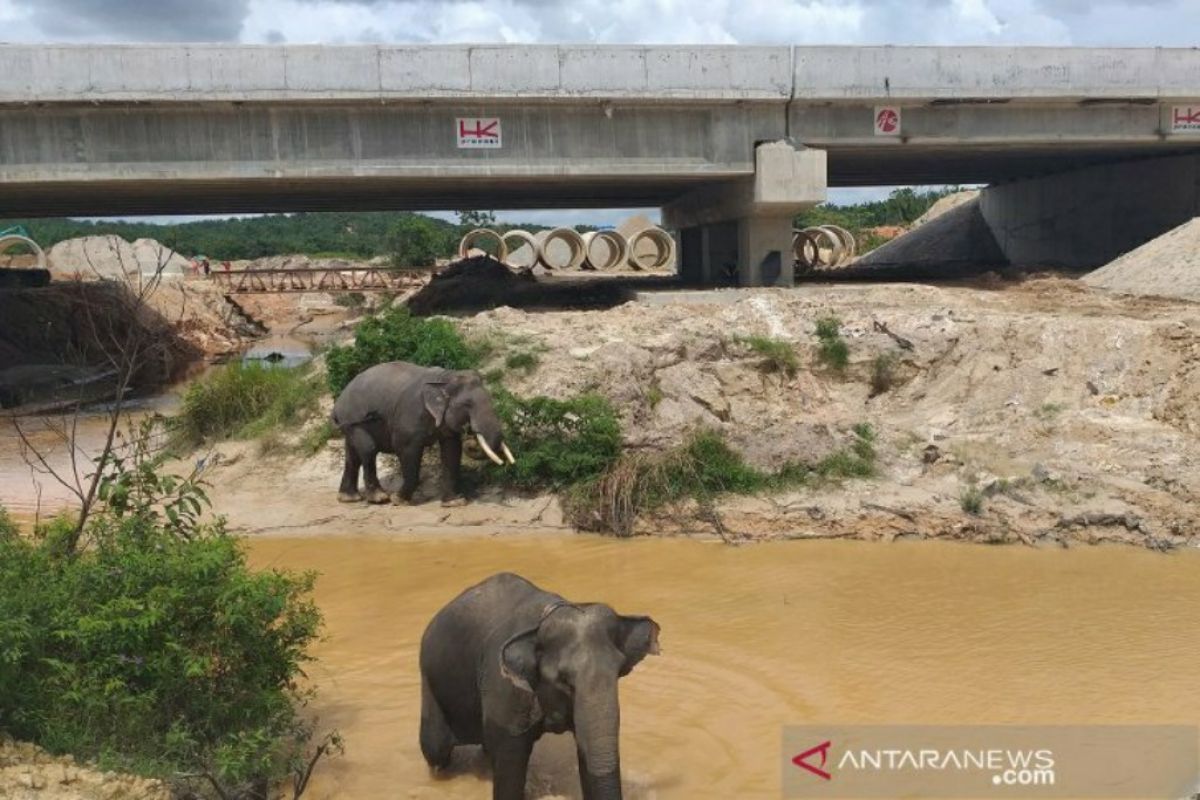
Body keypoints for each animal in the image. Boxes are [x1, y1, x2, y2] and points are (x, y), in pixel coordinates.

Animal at [331, 359, 513, 503]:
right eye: (467, 404)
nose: (470, 434)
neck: (444, 377)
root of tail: (338, 402)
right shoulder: (410, 415)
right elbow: (406, 449)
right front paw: (399, 500)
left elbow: (452, 450)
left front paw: (454, 502)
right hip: (354, 420)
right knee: (368, 450)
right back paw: (380, 498)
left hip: (350, 425)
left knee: (353, 455)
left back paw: (349, 498)